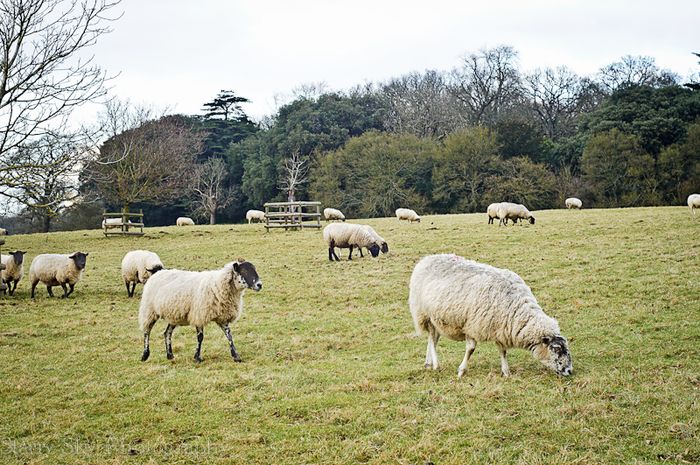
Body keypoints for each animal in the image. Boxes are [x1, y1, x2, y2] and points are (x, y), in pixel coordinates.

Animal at [409, 254, 573, 378]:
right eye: (556, 349)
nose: (569, 371)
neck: (515, 308)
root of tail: (426, 259)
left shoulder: (500, 328)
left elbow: (503, 351)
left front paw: (506, 372)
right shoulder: (472, 325)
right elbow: (471, 349)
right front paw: (461, 371)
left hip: (437, 318)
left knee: (434, 339)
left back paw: (428, 363)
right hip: (425, 314)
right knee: (432, 339)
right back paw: (436, 364)